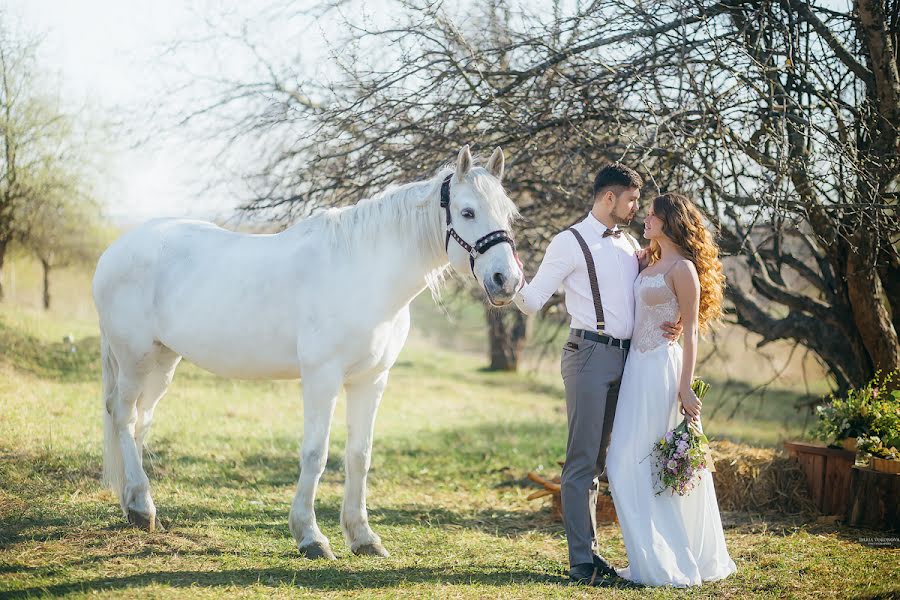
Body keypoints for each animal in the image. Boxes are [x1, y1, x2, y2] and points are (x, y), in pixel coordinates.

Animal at [93, 145, 520, 556]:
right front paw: (311, 536)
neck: (365, 273)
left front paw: (363, 537)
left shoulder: (371, 379)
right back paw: (141, 506)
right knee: (124, 415)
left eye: (509, 213)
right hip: (134, 358)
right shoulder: (322, 377)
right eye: (467, 212)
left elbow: (359, 455)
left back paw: (136, 503)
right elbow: (316, 454)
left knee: (141, 420)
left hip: (163, 360)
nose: (507, 280)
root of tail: (115, 250)